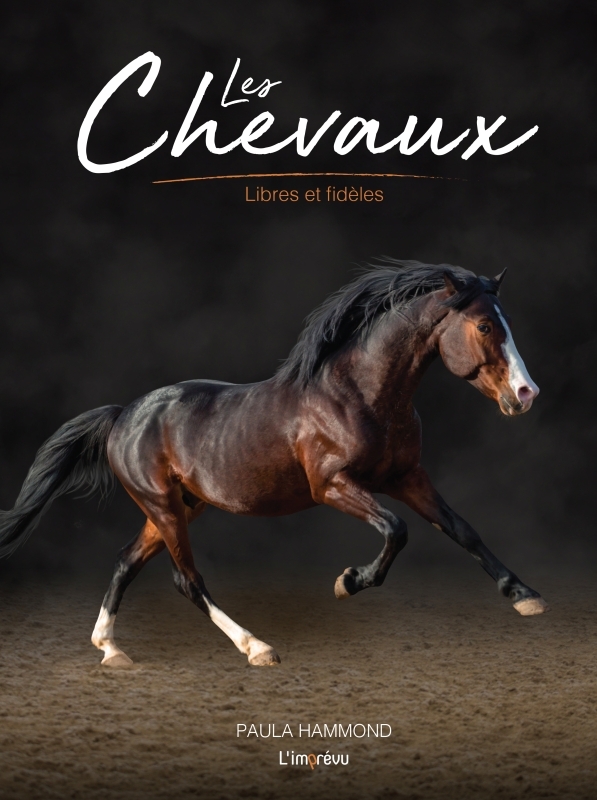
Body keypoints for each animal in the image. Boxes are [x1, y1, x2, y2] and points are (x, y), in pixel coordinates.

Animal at [0, 259, 547, 668]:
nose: (526, 394)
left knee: (125, 561)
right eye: (484, 325)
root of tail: (122, 415)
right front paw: (348, 582)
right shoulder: (333, 486)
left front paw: (524, 595)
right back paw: (256, 647)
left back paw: (111, 649)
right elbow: (397, 530)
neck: (359, 395)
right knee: (187, 581)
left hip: (180, 507)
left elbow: (462, 530)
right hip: (164, 507)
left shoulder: (406, 477)